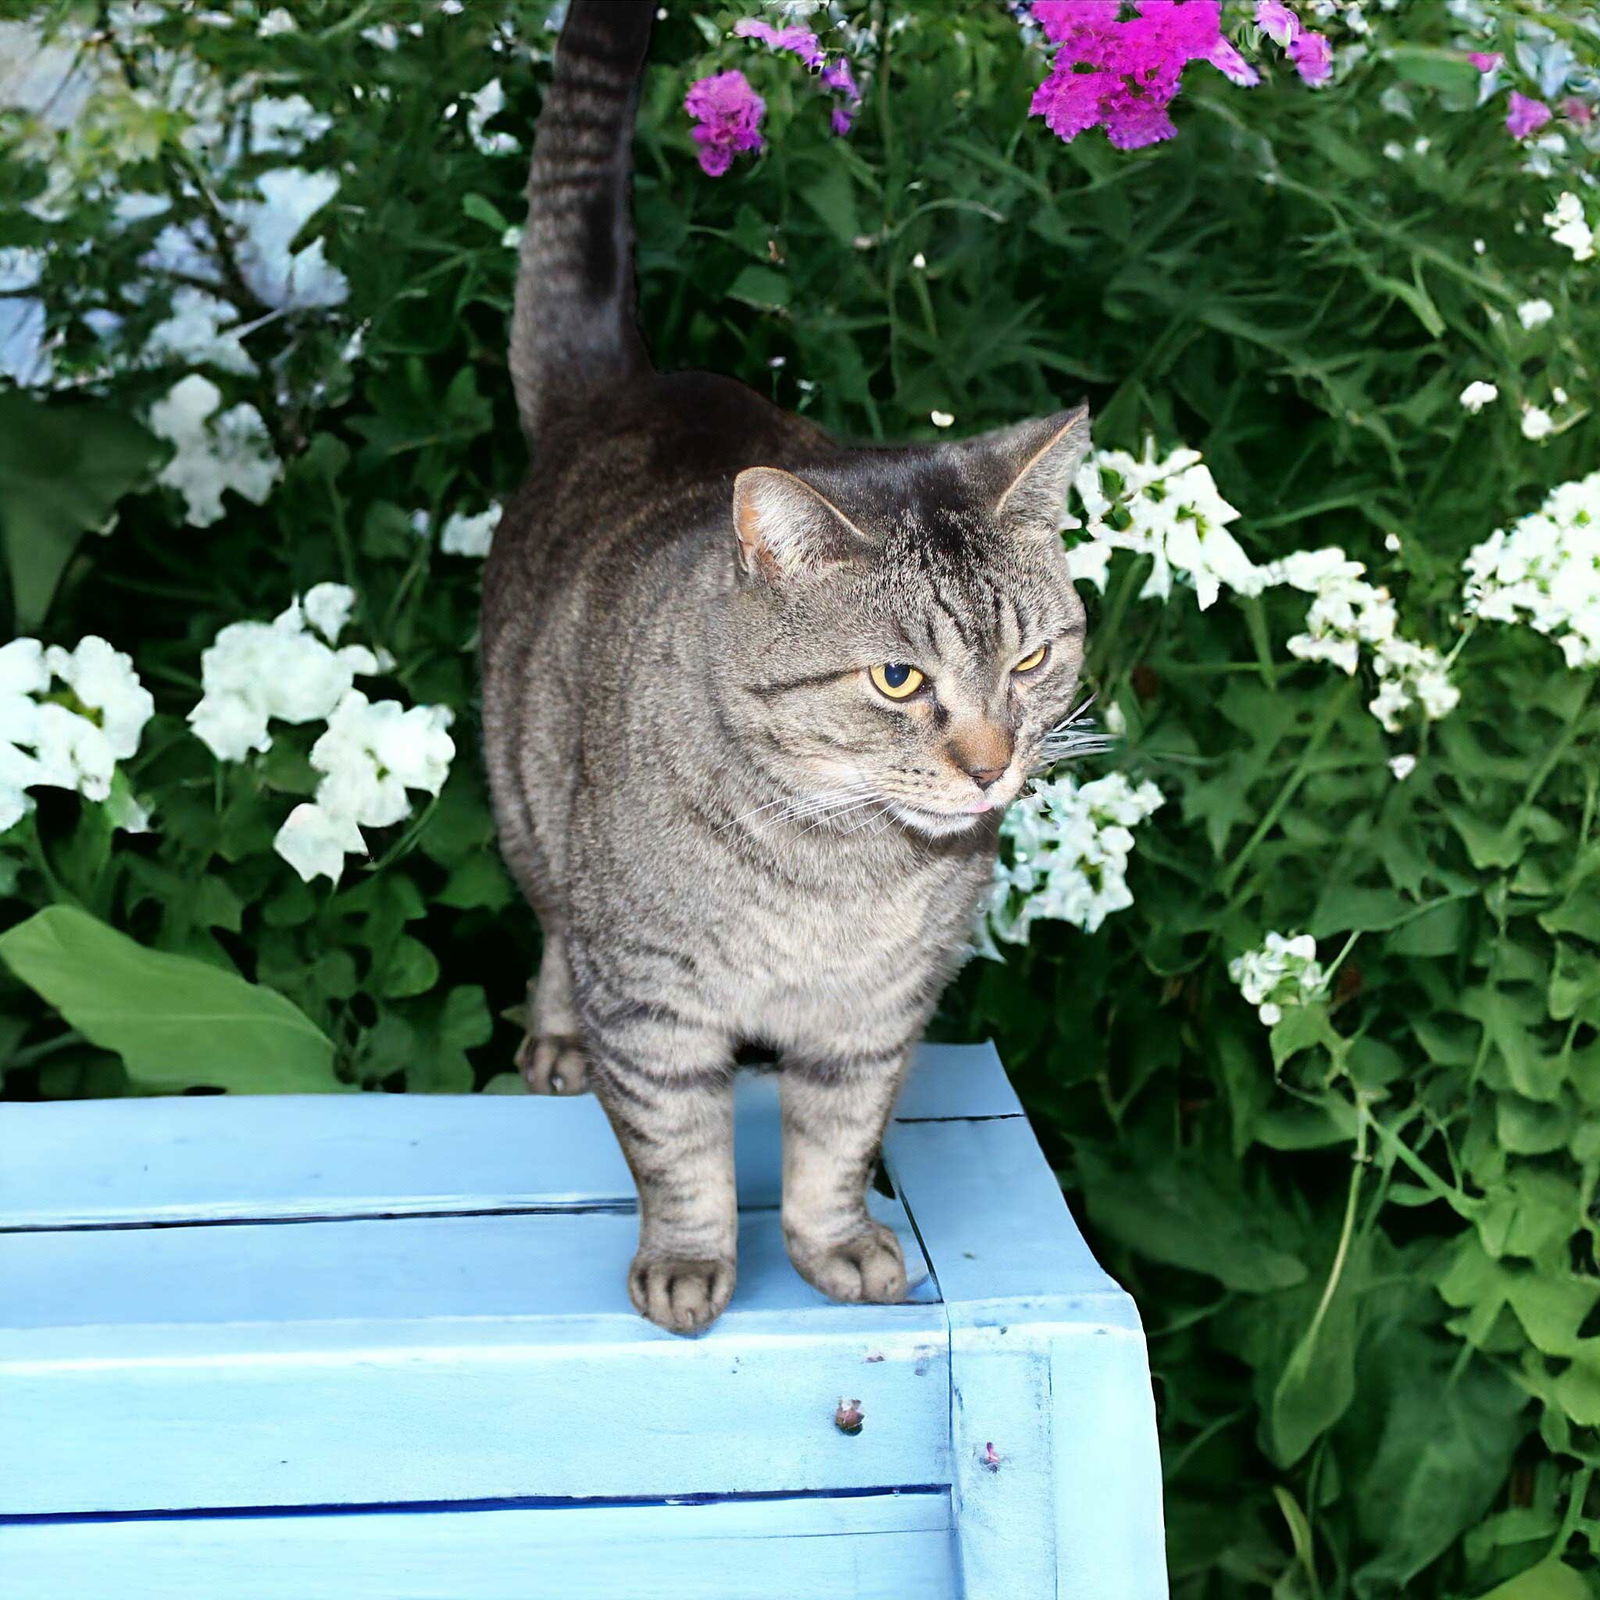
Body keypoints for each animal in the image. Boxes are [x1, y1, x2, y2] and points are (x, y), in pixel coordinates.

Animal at [480, 0, 1094, 1337]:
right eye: (898, 680)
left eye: (1030, 656)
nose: (990, 766)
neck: (837, 867)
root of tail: (631, 382)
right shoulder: (653, 1005)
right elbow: (681, 1156)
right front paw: (687, 1264)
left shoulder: (872, 1018)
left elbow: (835, 1144)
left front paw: (835, 1247)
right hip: (528, 800)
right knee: (549, 923)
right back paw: (553, 1039)